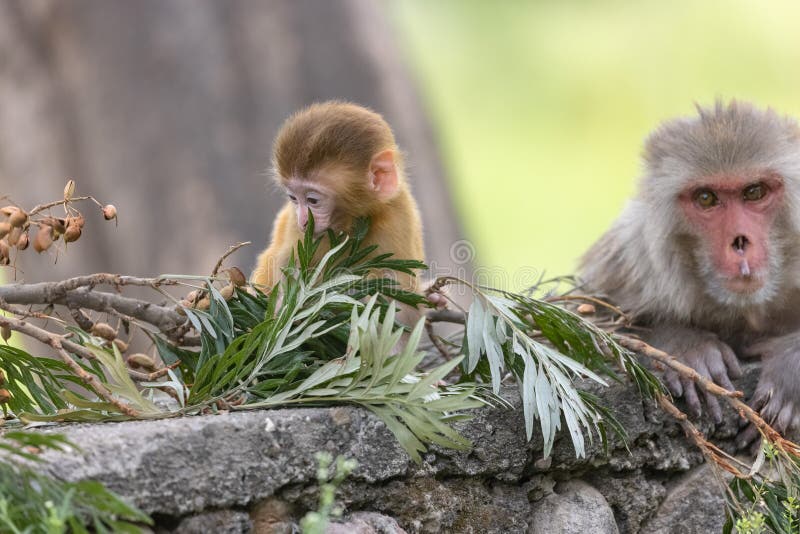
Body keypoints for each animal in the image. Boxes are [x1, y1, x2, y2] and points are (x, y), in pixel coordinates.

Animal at [579, 100, 800, 445]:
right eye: (706, 198)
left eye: (754, 192)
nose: (740, 242)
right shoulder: (631, 261)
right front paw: (689, 349)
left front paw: (791, 367)